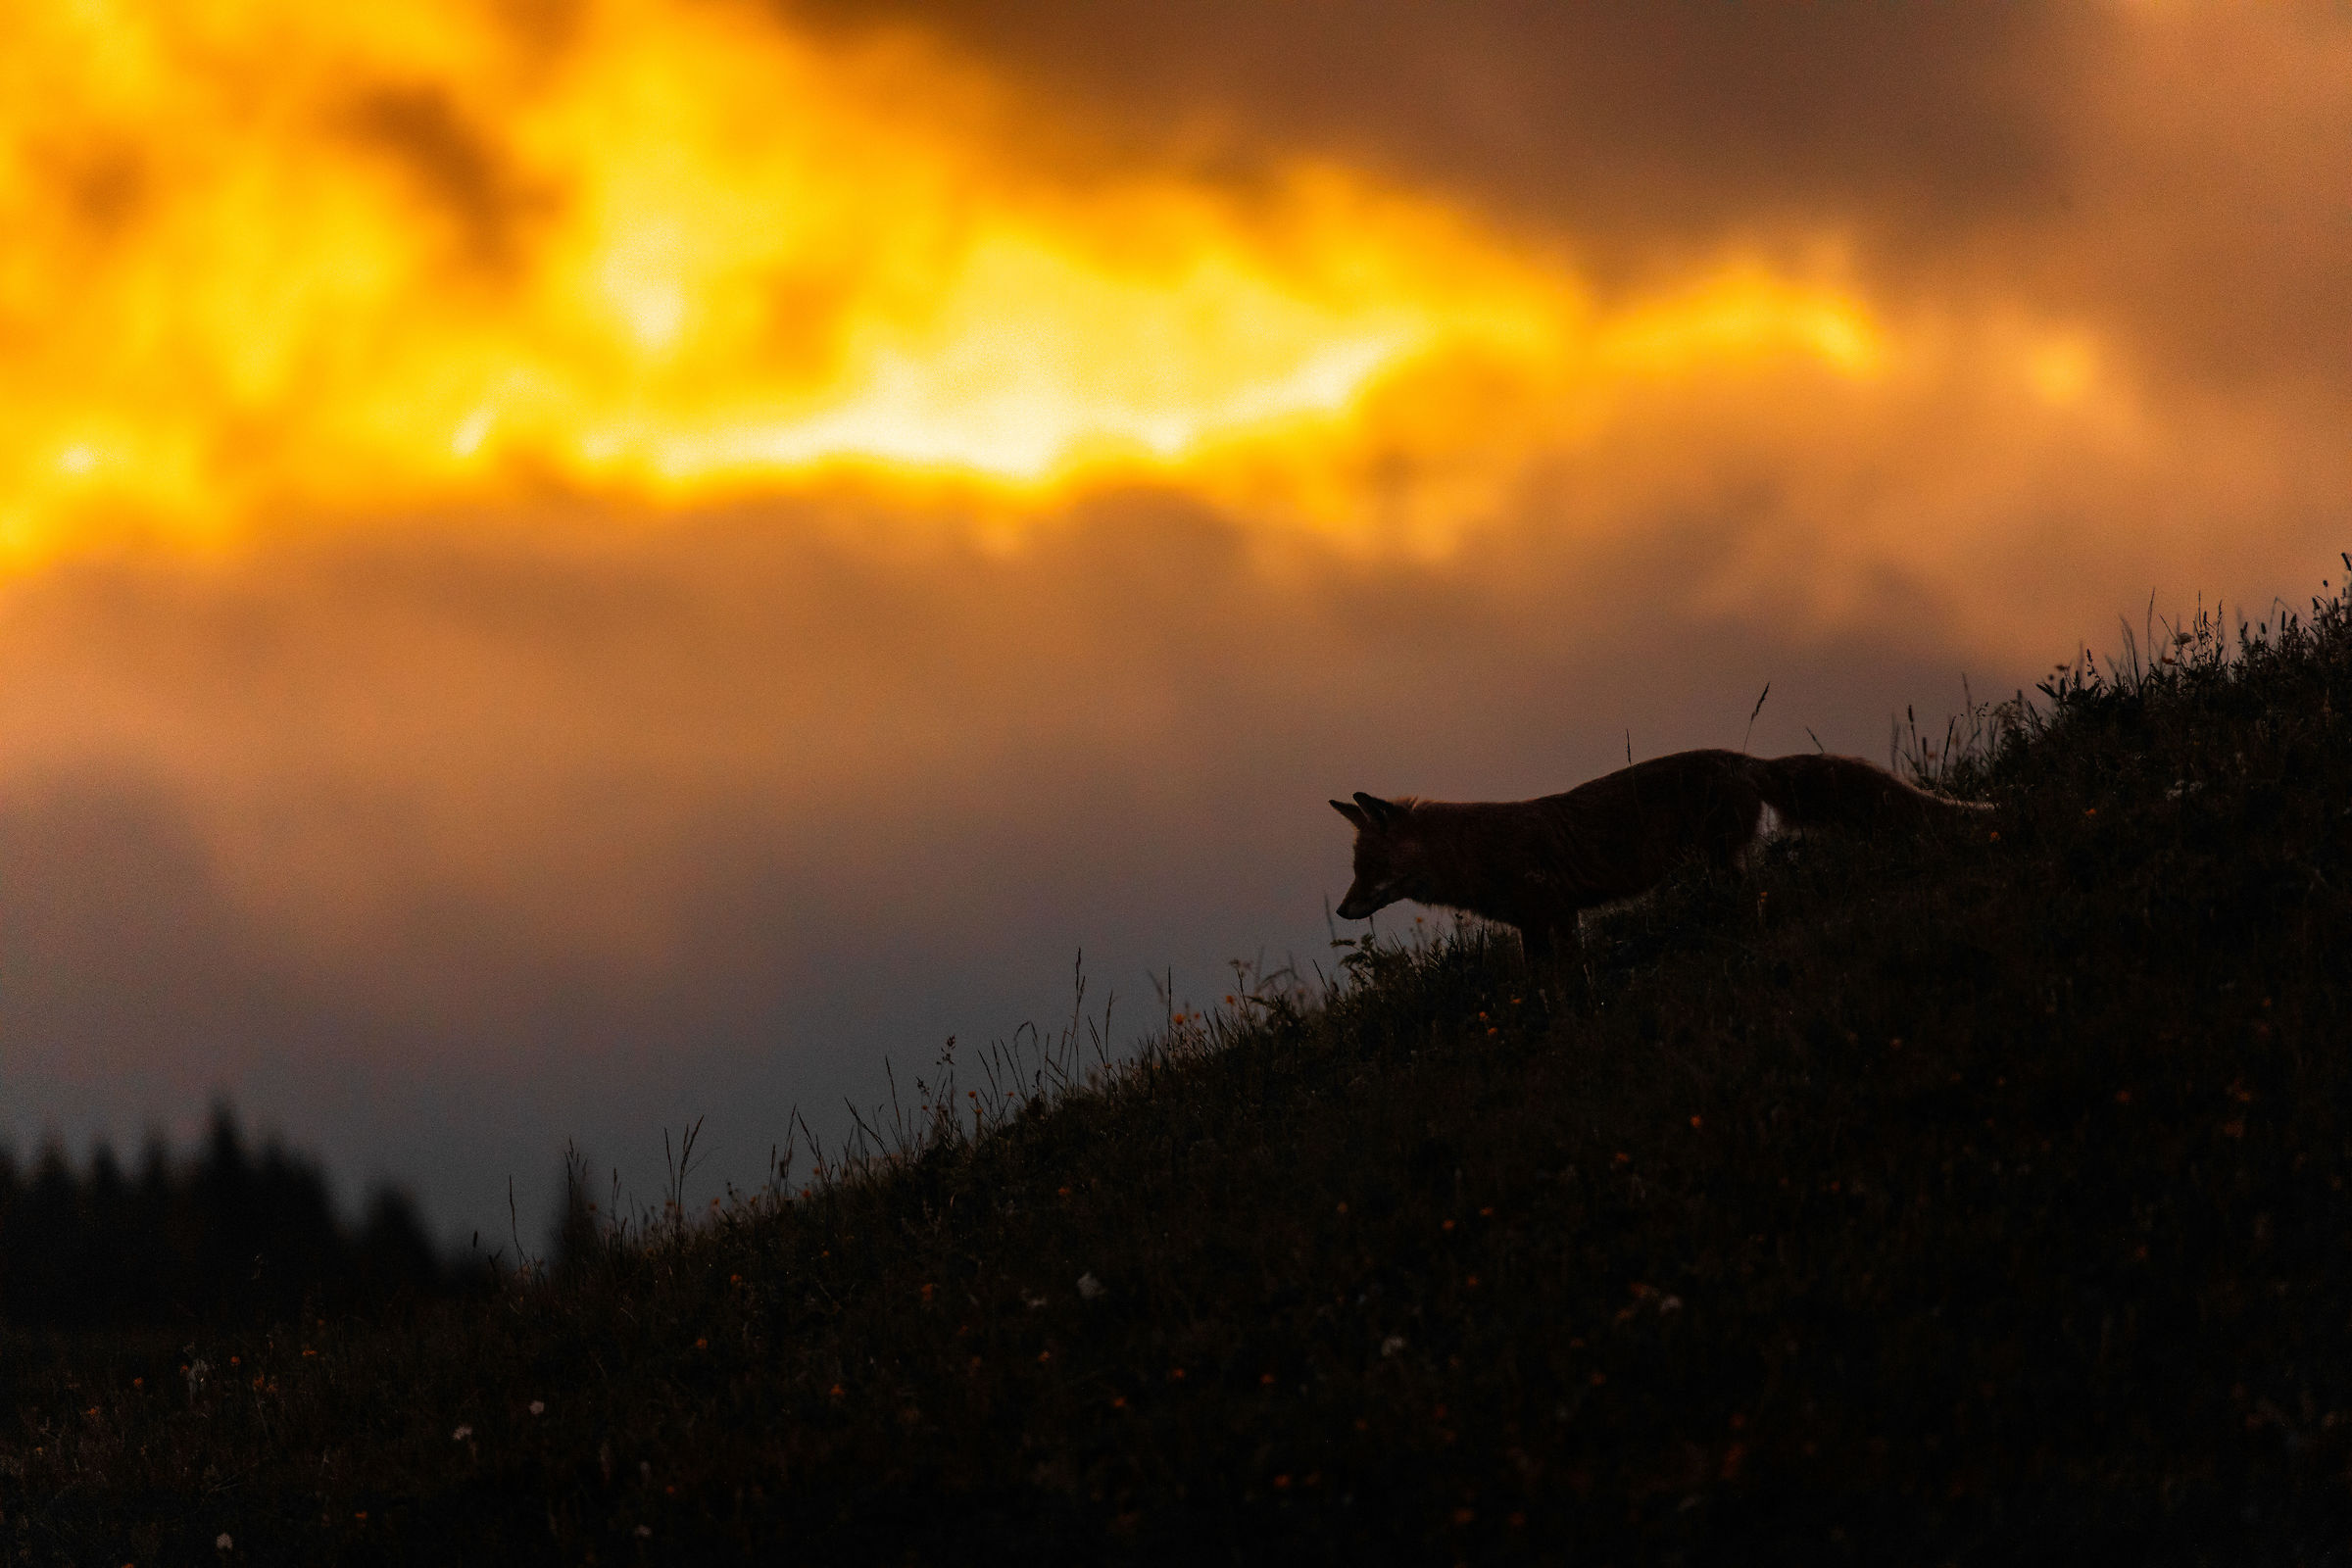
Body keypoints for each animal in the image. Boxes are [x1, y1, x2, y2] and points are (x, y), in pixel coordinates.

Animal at [1331, 748, 1993, 967]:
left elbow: (1565, 983)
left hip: (1719, 863)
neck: (1475, 852)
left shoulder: (1553, 913)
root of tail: (1738, 758)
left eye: (1369, 871)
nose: (1341, 911)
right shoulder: (1539, 924)